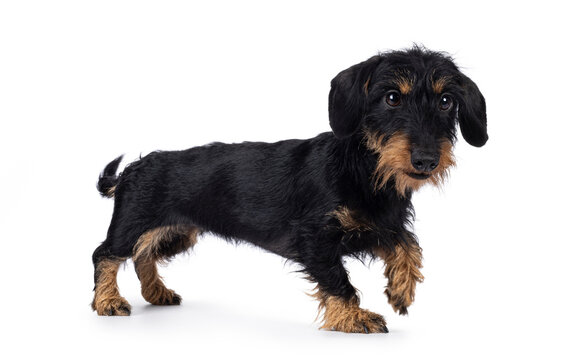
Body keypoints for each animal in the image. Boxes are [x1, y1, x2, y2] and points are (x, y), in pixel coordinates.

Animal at [90, 46, 488, 334]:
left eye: (446, 101)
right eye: (392, 98)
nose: (426, 160)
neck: (365, 170)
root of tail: (131, 169)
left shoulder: (377, 226)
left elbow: (407, 245)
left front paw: (401, 289)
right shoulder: (315, 238)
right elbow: (338, 279)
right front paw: (353, 317)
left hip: (177, 233)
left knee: (144, 256)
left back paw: (156, 292)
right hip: (133, 225)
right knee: (106, 254)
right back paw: (108, 301)